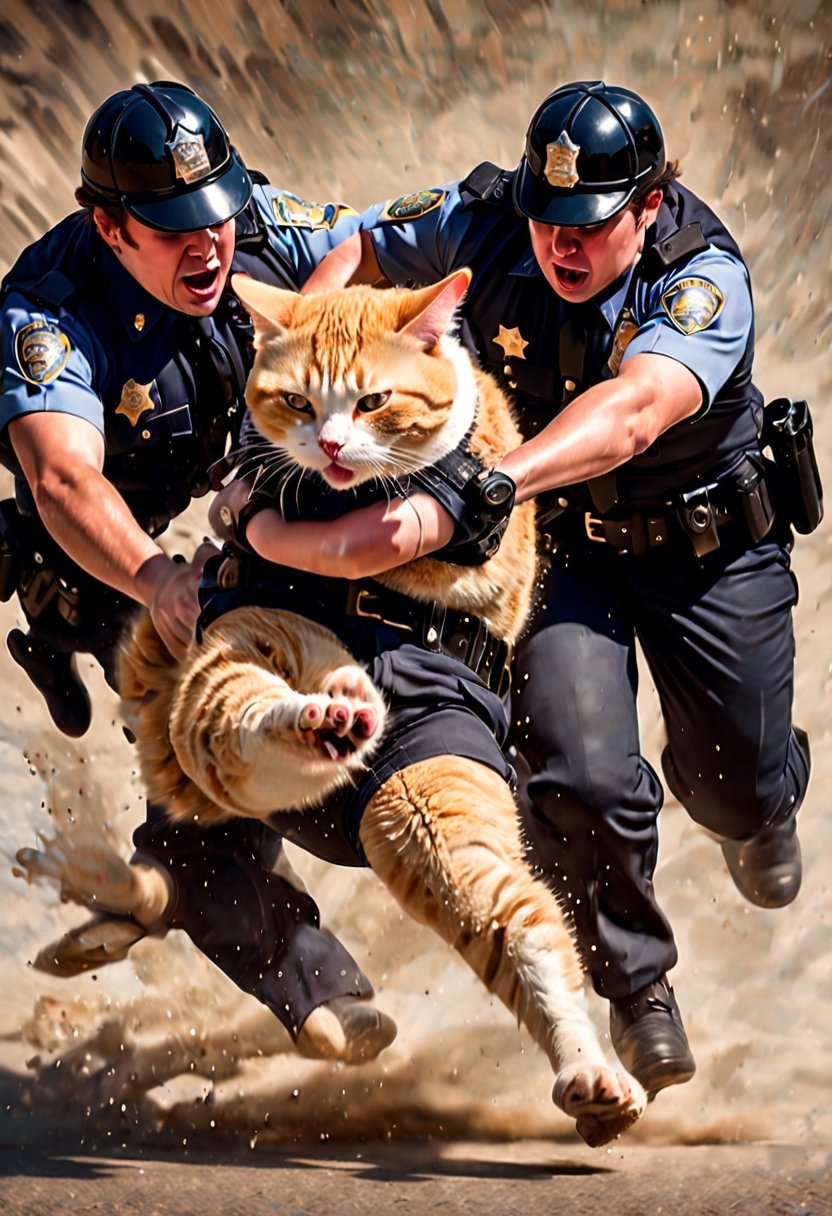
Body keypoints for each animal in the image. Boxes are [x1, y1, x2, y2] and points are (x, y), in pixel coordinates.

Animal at [118, 271, 651, 1143]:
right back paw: (322, 720)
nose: (331, 447)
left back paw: (590, 1075)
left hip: (421, 807)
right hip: (246, 658)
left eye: (372, 401)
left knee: (513, 920)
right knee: (230, 728)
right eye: (297, 402)